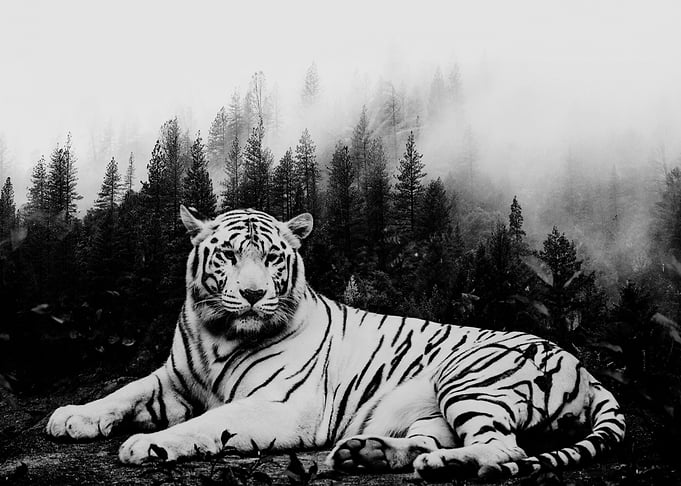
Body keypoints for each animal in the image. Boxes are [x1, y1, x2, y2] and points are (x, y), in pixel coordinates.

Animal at [46, 206, 625, 481]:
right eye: (229, 256)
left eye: (272, 258)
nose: (253, 294)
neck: (219, 333)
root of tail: (587, 370)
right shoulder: (173, 379)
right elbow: (124, 390)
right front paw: (71, 416)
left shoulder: (282, 405)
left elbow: (209, 421)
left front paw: (145, 444)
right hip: (434, 409)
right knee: (435, 440)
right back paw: (367, 454)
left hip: (469, 378)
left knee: (505, 447)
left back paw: (448, 466)